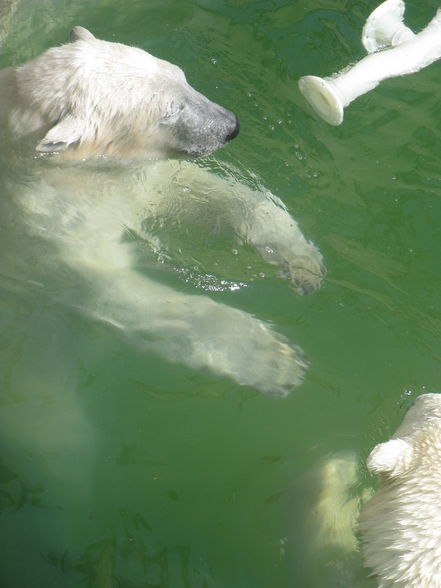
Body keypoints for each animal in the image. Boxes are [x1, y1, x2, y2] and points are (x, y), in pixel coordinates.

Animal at [0, 26, 324, 396]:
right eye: (170, 111)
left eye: (182, 77)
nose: (231, 126)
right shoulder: (51, 228)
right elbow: (117, 292)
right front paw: (275, 360)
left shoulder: (134, 177)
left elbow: (201, 191)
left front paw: (302, 262)